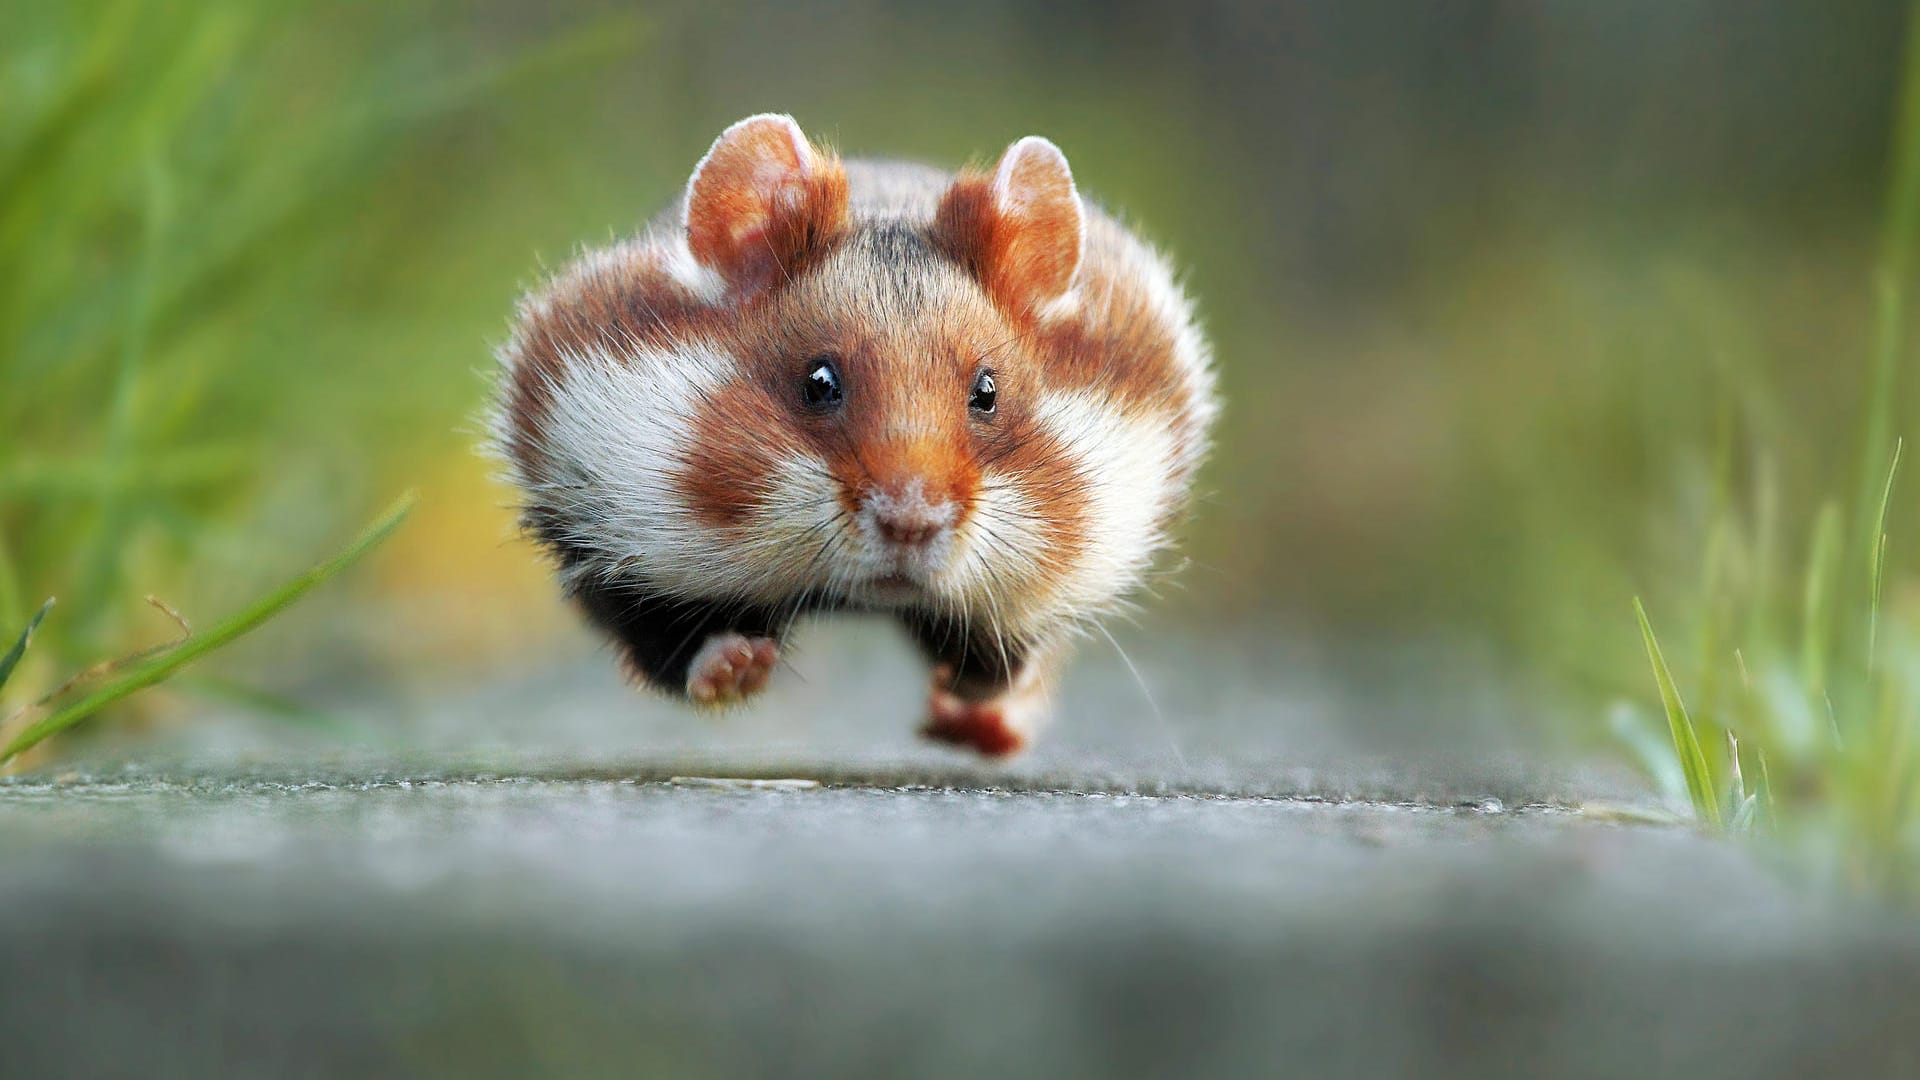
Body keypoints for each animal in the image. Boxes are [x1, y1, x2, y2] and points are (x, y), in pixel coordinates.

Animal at [495, 113, 1213, 753]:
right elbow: (669, 644)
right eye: (819, 383)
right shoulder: (603, 531)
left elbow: (1004, 656)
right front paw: (739, 667)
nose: (911, 523)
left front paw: (965, 692)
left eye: (987, 393)